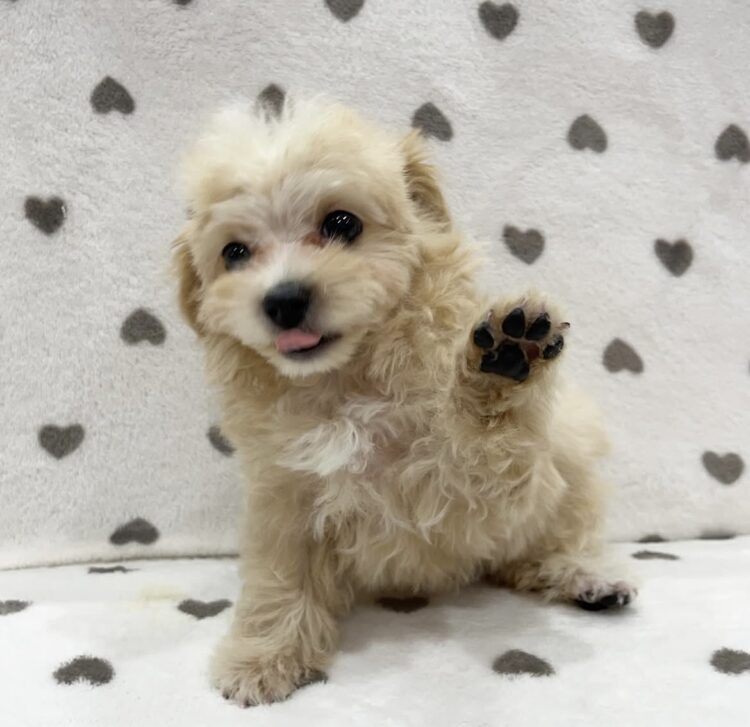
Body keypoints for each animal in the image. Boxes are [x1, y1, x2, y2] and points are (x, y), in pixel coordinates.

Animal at [172, 98, 636, 706]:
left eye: (341, 223)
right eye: (234, 253)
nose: (284, 300)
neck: (344, 383)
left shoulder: (468, 494)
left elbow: (488, 451)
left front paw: (502, 363)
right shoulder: (285, 492)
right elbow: (281, 576)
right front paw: (263, 657)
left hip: (572, 453)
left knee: (552, 539)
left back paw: (586, 575)